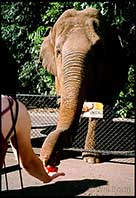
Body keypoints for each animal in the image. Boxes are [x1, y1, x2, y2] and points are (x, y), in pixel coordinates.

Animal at [39, 7, 129, 166]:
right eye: (58, 52)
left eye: (98, 51)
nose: (46, 160)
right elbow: (63, 100)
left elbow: (99, 105)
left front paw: (91, 159)